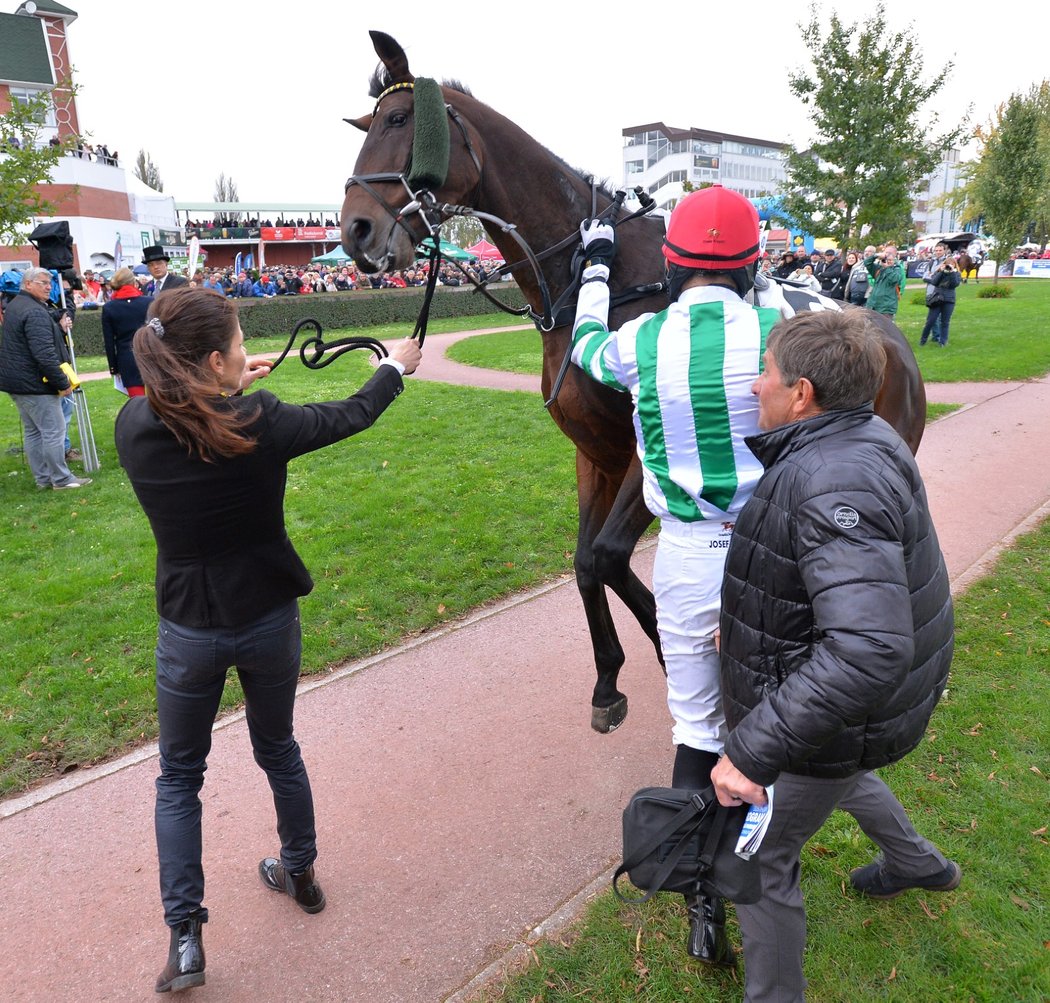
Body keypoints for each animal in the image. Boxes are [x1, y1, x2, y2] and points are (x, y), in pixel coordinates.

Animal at [340, 31, 923, 739]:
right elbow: (586, 561)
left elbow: (608, 555)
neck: (607, 280)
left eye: (401, 120)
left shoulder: (653, 458)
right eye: (369, 124)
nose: (354, 230)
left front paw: (671, 655)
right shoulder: (597, 454)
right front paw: (610, 678)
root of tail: (890, 337)